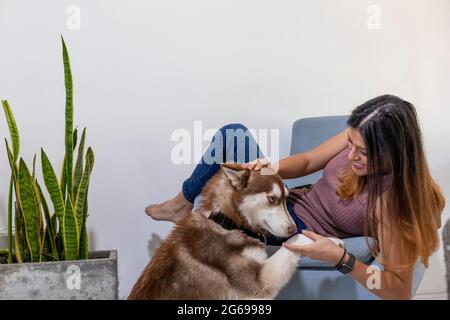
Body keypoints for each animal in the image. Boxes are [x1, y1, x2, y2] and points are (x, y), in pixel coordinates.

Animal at [128, 165, 342, 300]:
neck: (227, 222)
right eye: (272, 199)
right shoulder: (258, 285)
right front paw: (331, 241)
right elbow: (292, 242)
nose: (292, 227)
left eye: (286, 199)